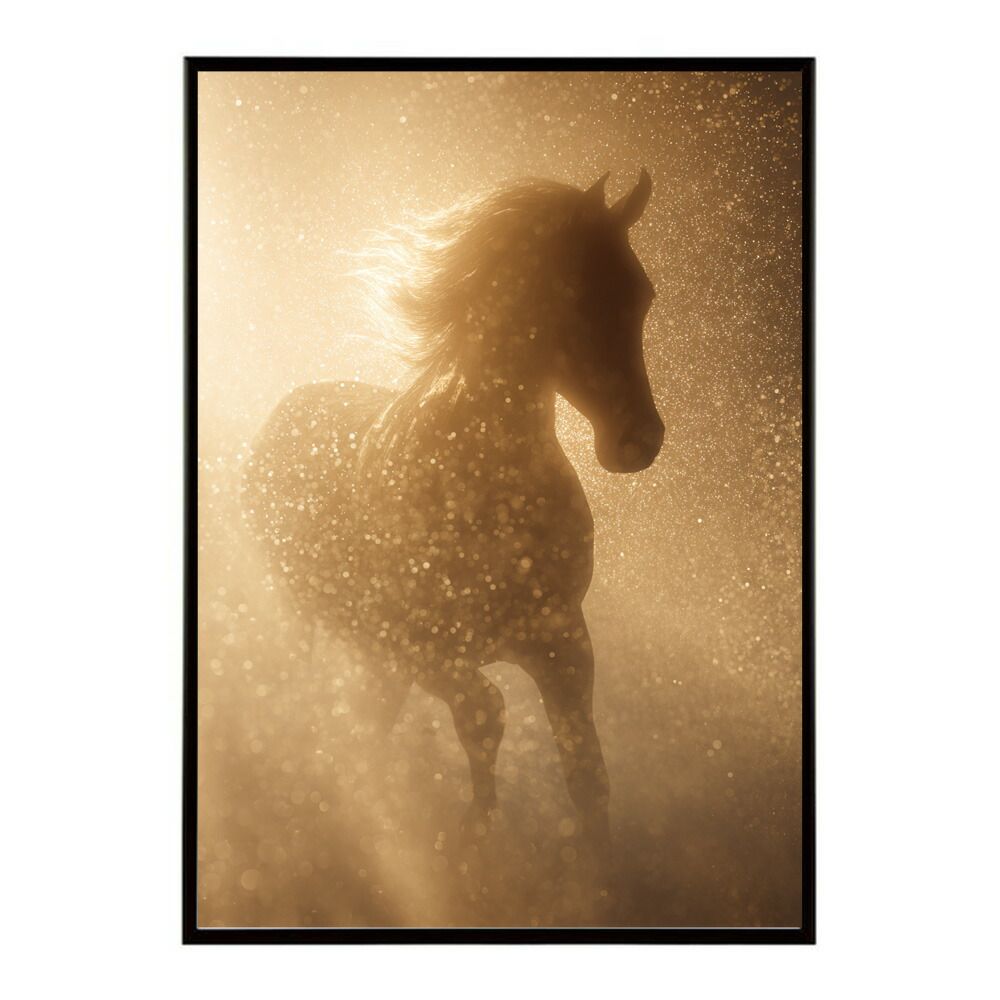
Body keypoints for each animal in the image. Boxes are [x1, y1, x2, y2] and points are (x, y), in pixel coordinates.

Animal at [241, 171, 664, 862]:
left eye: (641, 294)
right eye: (576, 293)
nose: (639, 441)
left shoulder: (564, 643)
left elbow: (587, 774)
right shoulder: (420, 645)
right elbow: (485, 715)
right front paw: (476, 841)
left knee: (371, 717)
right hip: (308, 615)